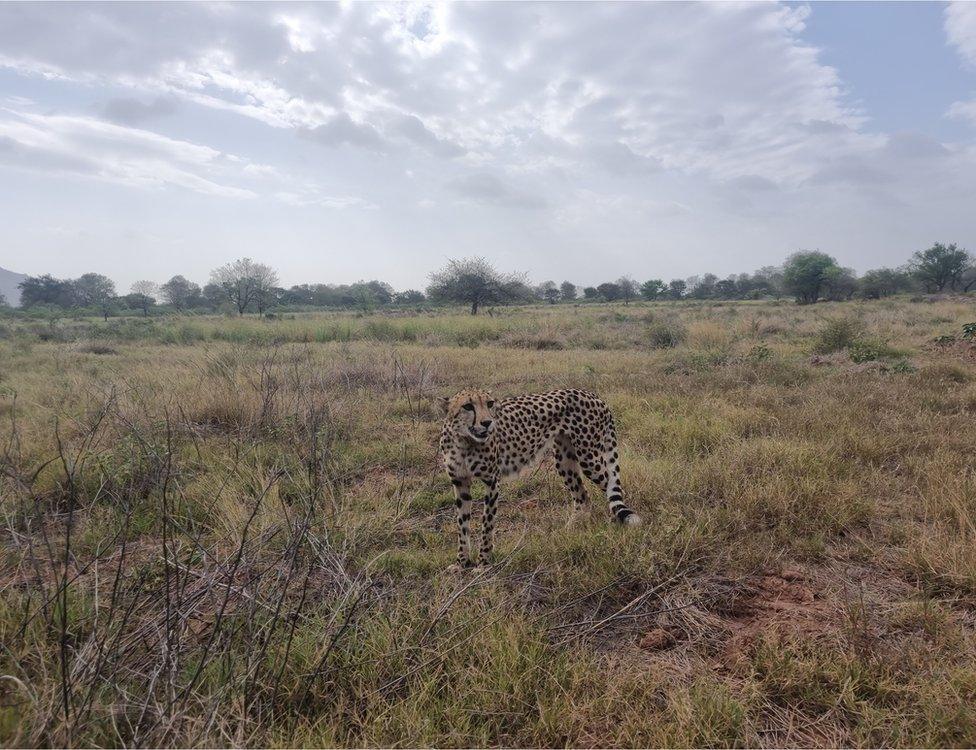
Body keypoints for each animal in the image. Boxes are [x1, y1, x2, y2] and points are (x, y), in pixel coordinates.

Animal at [436, 390, 640, 568]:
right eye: (468, 406)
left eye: (490, 403)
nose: (487, 423)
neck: (464, 441)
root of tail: (592, 394)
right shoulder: (460, 482)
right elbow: (462, 525)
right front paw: (461, 562)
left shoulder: (492, 480)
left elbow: (487, 523)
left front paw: (483, 563)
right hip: (564, 460)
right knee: (583, 496)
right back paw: (571, 530)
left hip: (589, 458)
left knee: (614, 488)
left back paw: (615, 522)